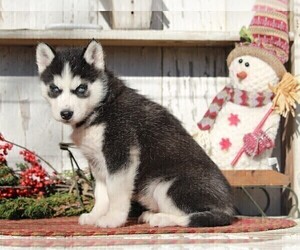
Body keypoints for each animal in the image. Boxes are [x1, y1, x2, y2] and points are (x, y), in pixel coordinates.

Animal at [36, 41, 234, 229]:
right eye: (55, 89)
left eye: (81, 88)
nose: (66, 113)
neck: (102, 107)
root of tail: (229, 206)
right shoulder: (98, 163)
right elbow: (101, 193)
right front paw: (95, 215)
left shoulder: (121, 153)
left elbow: (115, 192)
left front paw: (113, 220)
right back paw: (151, 215)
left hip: (169, 186)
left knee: (211, 217)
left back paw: (161, 219)